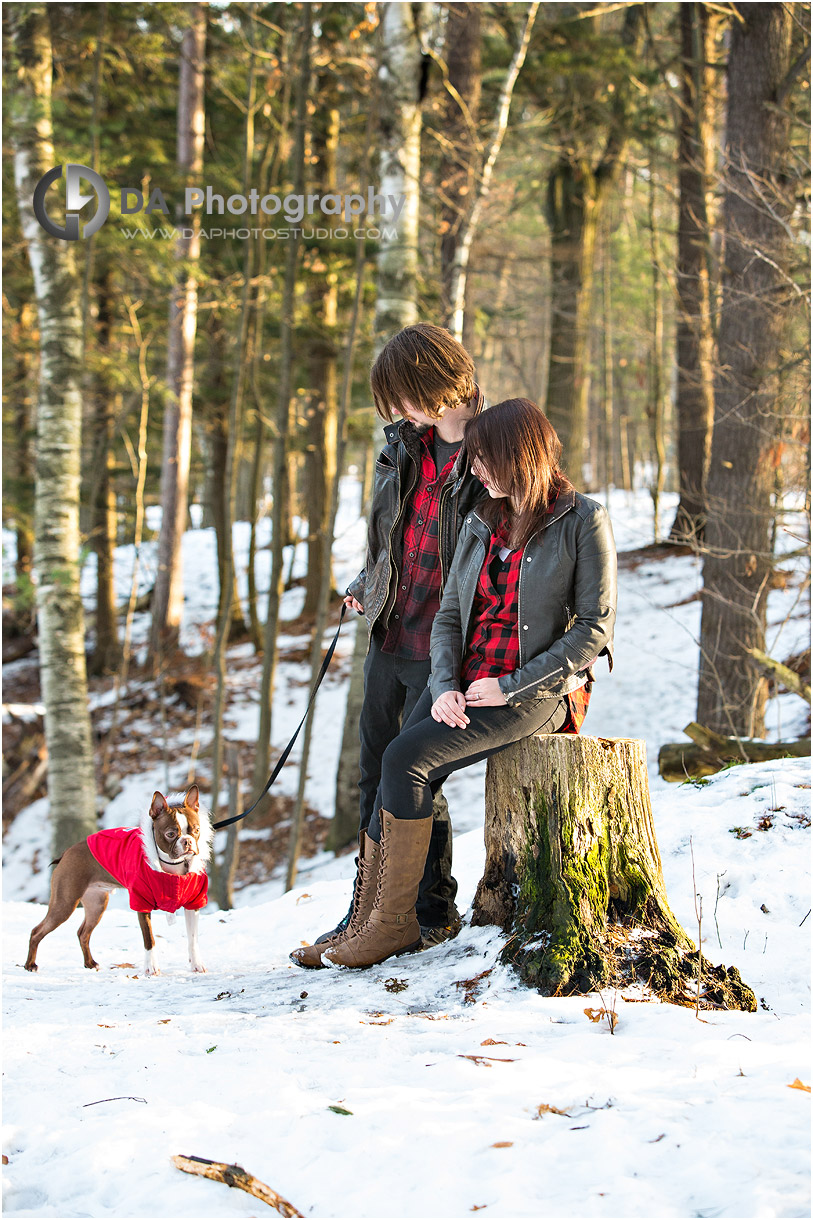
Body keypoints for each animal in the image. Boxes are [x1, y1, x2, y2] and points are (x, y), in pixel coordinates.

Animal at [26, 785, 212, 976]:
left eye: (197, 830)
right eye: (171, 833)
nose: (188, 841)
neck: (173, 867)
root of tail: (66, 853)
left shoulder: (193, 904)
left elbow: (193, 939)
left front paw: (197, 965)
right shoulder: (141, 904)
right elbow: (149, 939)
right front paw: (151, 968)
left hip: (96, 904)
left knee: (83, 933)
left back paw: (90, 963)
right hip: (65, 902)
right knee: (37, 931)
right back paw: (30, 965)